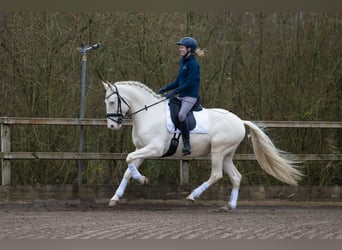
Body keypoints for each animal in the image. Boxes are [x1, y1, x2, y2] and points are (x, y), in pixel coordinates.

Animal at [103, 80, 304, 209]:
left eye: (112, 101)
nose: (112, 126)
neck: (148, 114)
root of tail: (240, 121)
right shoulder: (141, 149)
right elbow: (128, 169)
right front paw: (115, 198)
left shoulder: (154, 149)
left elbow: (128, 159)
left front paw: (143, 180)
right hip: (226, 154)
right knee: (236, 177)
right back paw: (230, 206)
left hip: (217, 151)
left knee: (216, 175)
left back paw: (192, 196)